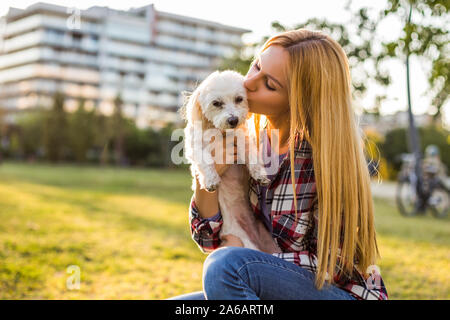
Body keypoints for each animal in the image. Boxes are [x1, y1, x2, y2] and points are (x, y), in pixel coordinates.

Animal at [180, 70, 282, 252]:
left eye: (239, 99)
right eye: (216, 103)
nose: (233, 120)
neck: (221, 132)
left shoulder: (243, 139)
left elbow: (251, 155)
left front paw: (259, 174)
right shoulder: (195, 146)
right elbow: (205, 160)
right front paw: (211, 180)